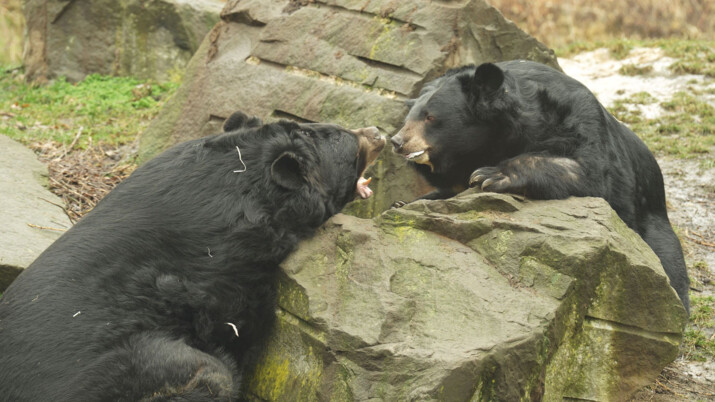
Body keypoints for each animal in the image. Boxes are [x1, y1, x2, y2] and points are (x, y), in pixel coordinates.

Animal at [392, 60, 692, 314]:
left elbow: (592, 173)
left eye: (430, 117)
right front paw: (403, 202)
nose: (397, 142)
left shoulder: (582, 121)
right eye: (409, 117)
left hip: (654, 229)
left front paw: (490, 175)